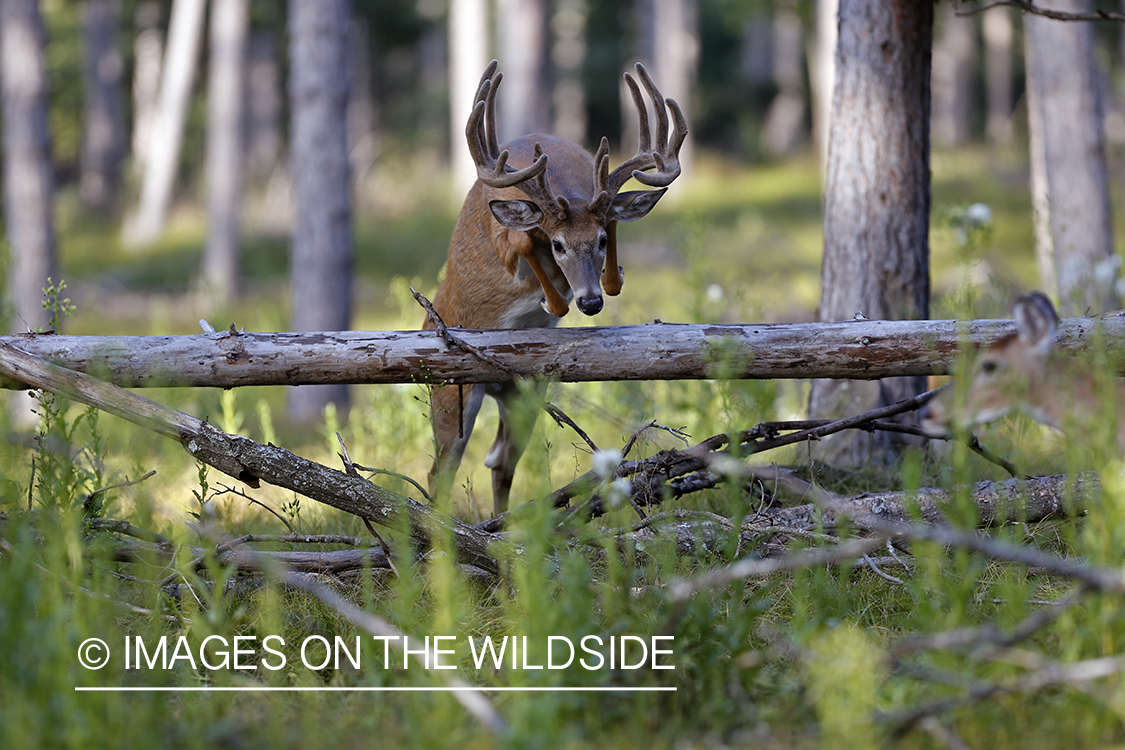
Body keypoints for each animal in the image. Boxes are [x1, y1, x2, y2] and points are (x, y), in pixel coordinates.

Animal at [425, 61, 684, 517]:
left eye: (600, 241)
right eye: (559, 244)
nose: (591, 301)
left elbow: (613, 227)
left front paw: (609, 279)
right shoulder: (507, 236)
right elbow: (523, 240)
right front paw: (555, 299)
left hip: (523, 393)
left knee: (500, 461)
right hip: (451, 392)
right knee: (439, 474)